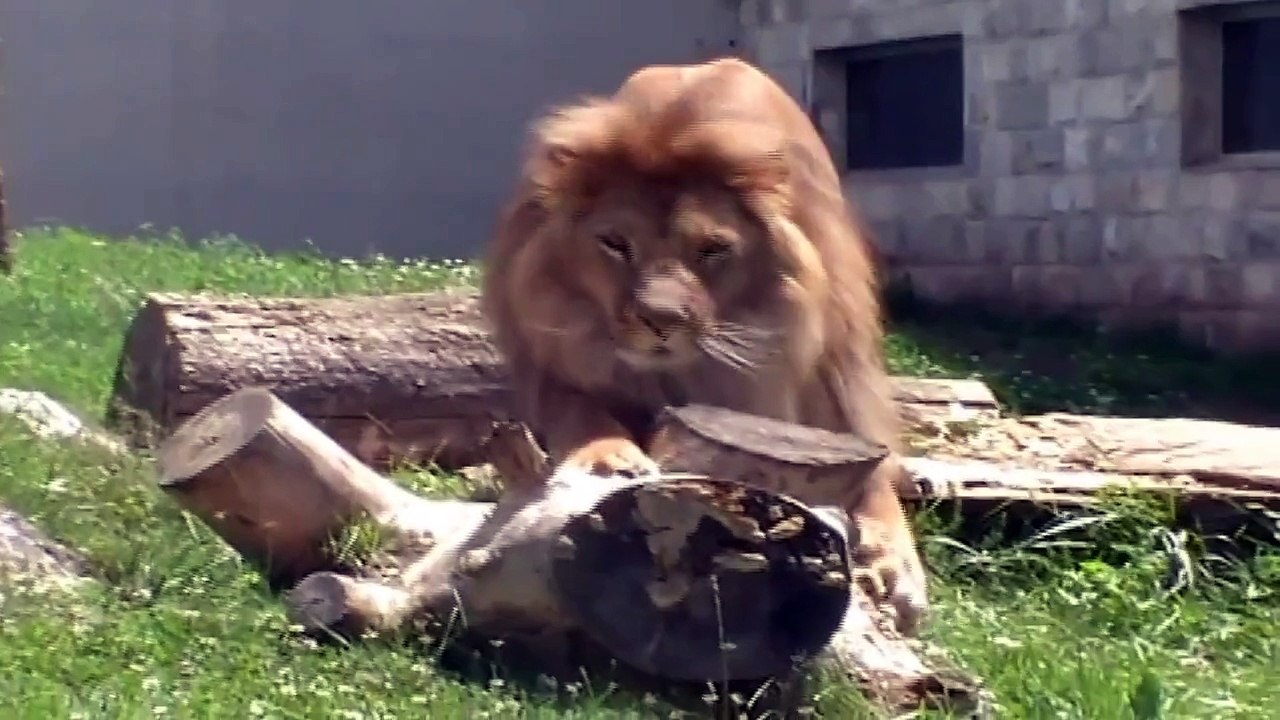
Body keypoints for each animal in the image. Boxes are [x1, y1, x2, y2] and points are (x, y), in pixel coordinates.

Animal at [479, 57, 928, 635]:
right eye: (614, 243)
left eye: (713, 249)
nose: (661, 320)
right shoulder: (555, 368)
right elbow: (581, 413)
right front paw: (608, 460)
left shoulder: (830, 379)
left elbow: (873, 475)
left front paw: (896, 568)